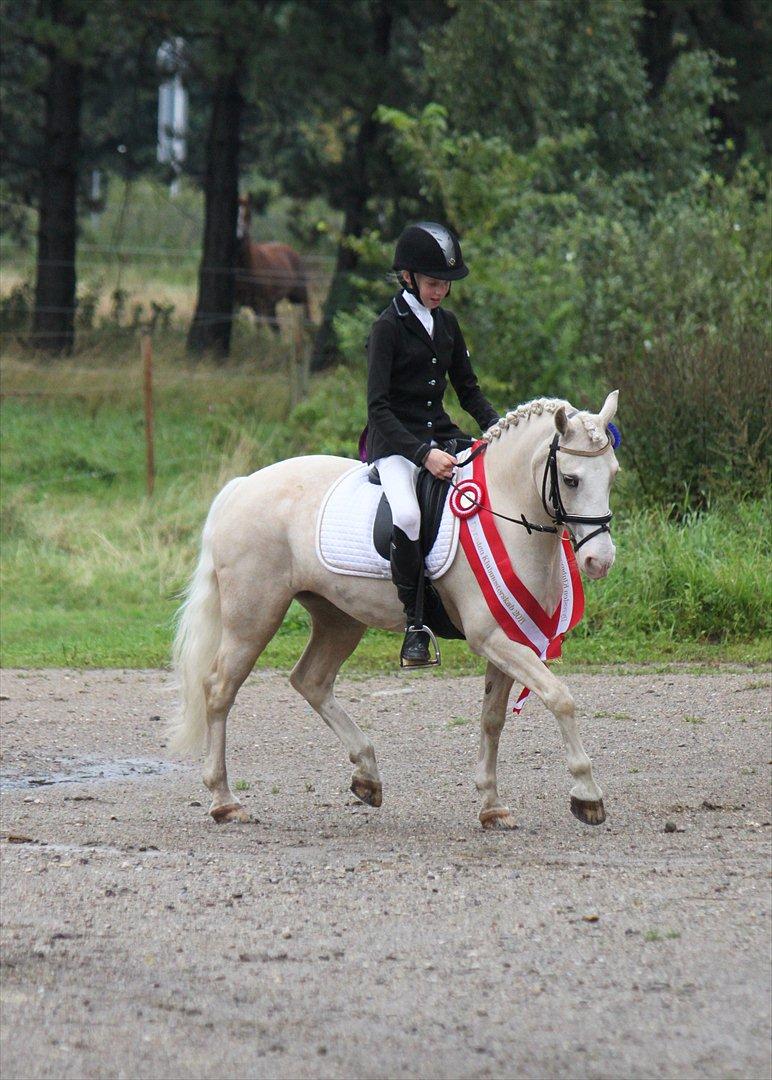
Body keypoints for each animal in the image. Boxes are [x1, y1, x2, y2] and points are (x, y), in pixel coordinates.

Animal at [170, 392, 620, 831]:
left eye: (612, 474)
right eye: (571, 479)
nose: (600, 561)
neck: (504, 511)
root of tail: (243, 486)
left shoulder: (511, 634)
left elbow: (492, 718)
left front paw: (492, 807)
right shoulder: (491, 636)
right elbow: (560, 697)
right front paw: (588, 795)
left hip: (339, 618)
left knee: (311, 680)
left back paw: (367, 777)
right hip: (254, 616)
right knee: (220, 689)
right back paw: (225, 801)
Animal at [235, 194, 311, 328]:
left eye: (248, 213)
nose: (239, 236)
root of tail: (292, 250)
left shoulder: (259, 304)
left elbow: (259, 327)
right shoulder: (236, 304)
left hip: (298, 295)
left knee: (307, 305)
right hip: (272, 305)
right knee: (276, 327)